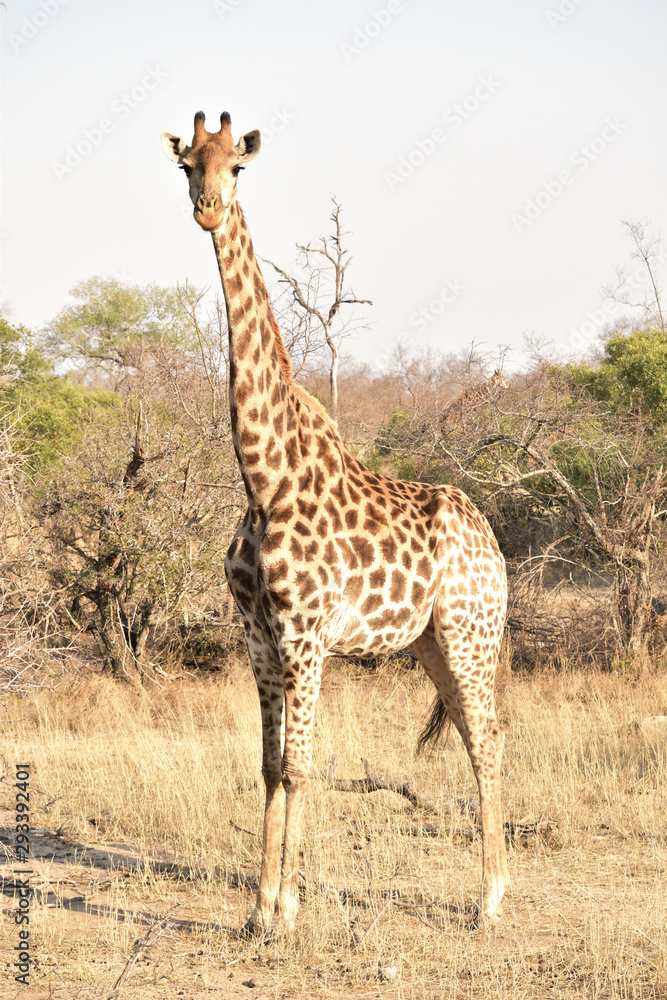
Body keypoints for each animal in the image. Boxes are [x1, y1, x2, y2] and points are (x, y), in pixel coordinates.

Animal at [162, 109, 512, 936]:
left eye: (237, 167)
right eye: (188, 164)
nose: (207, 210)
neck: (264, 476)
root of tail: (492, 545)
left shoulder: (307, 637)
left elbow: (298, 766)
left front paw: (284, 912)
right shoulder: (257, 637)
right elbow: (266, 765)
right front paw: (259, 908)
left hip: (470, 634)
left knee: (488, 739)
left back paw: (489, 901)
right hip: (432, 644)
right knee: (476, 733)